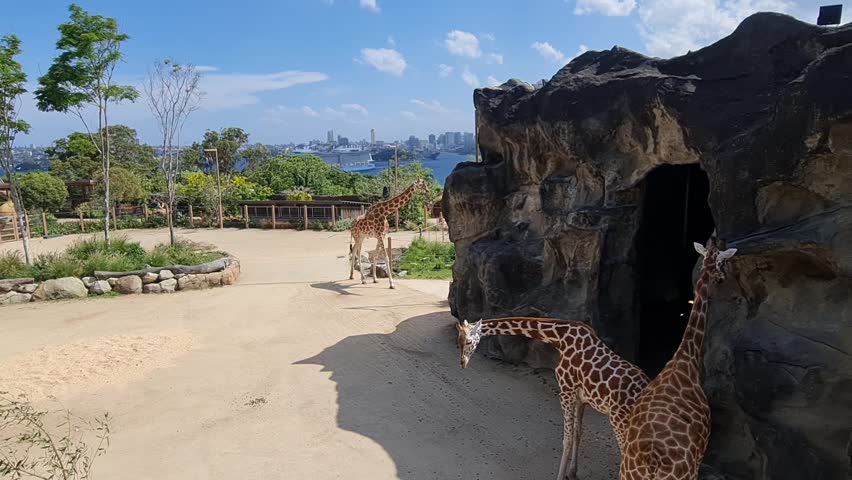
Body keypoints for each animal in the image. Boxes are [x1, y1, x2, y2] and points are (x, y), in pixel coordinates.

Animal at [457, 317, 651, 480]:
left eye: (468, 341)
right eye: (458, 342)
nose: (462, 363)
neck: (559, 338)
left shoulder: (565, 392)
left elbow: (566, 439)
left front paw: (561, 476)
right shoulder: (581, 398)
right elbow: (577, 434)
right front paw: (572, 472)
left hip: (620, 421)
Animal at [619, 238, 737, 480]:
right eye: (722, 262)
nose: (722, 277)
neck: (686, 358)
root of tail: (651, 462)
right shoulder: (700, 455)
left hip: (627, 472)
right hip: (683, 474)